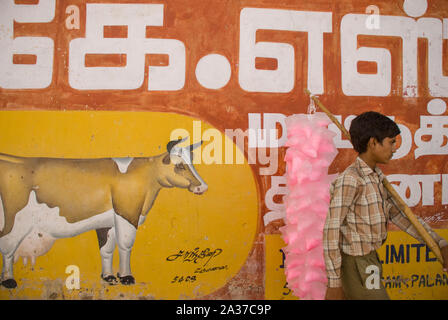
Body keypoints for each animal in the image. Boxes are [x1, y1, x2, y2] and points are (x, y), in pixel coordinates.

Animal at [0, 138, 207, 288]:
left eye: (193, 163)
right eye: (179, 165)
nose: (202, 187)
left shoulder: (107, 221)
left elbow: (106, 248)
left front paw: (109, 276)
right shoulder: (127, 213)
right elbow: (125, 245)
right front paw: (126, 276)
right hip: (15, 220)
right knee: (8, 247)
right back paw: (8, 280)